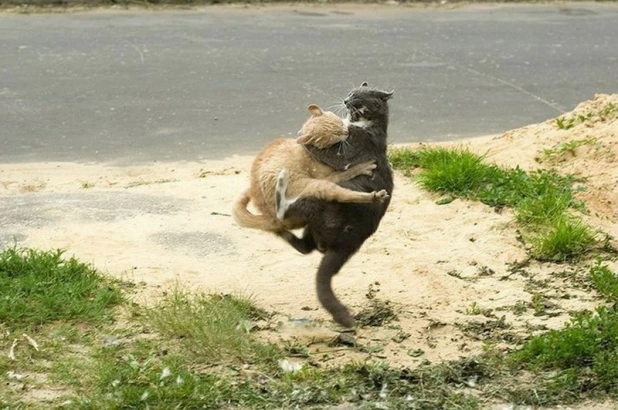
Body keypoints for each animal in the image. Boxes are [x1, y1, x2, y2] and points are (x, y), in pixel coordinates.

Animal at [276, 82, 392, 326]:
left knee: (286, 216)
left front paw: (304, 136)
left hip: (321, 201)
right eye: (351, 93)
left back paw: (281, 186)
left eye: (358, 99)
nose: (346, 101)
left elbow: (327, 152)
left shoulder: (350, 148)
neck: (361, 123)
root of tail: (348, 245)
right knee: (305, 247)